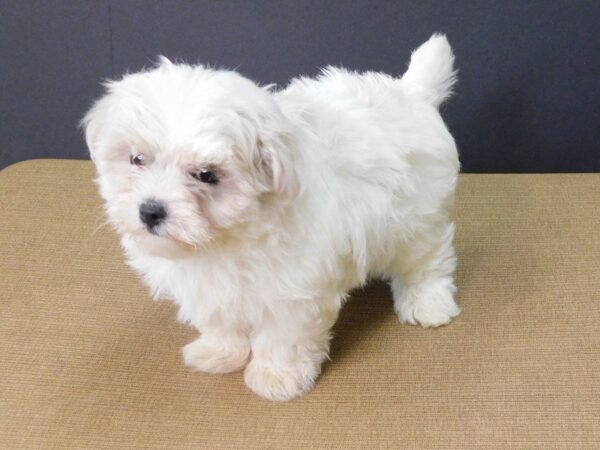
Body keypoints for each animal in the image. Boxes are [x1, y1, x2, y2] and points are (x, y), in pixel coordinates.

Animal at [83, 34, 460, 400]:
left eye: (206, 175)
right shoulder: (209, 287)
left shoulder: (294, 290)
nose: (150, 210)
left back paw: (428, 302)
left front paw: (277, 377)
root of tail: (412, 92)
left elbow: (283, 337)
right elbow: (221, 321)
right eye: (137, 159)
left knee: (427, 260)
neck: (225, 240)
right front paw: (219, 353)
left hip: (417, 218)